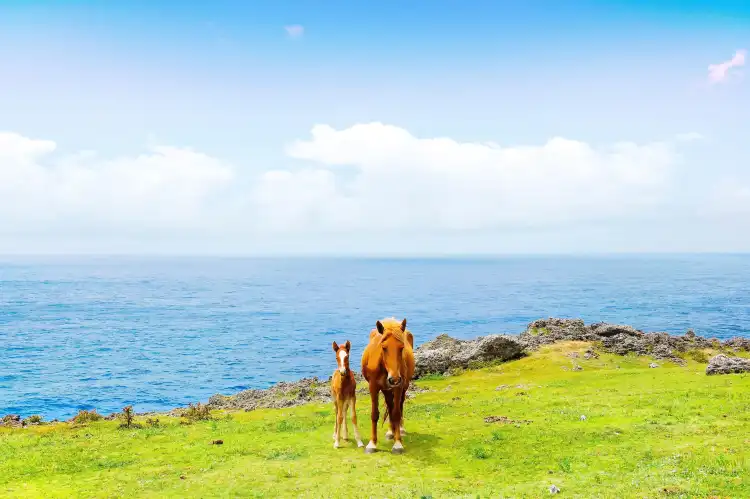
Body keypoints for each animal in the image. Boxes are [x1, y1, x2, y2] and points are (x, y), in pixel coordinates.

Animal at [360, 318, 414, 456]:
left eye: (401, 348)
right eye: (384, 348)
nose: (394, 379)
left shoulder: (399, 386)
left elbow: (396, 413)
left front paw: (398, 444)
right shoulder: (373, 386)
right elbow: (375, 414)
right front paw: (372, 444)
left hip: (402, 386)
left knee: (399, 406)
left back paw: (399, 429)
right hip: (386, 389)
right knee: (390, 405)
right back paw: (391, 431)